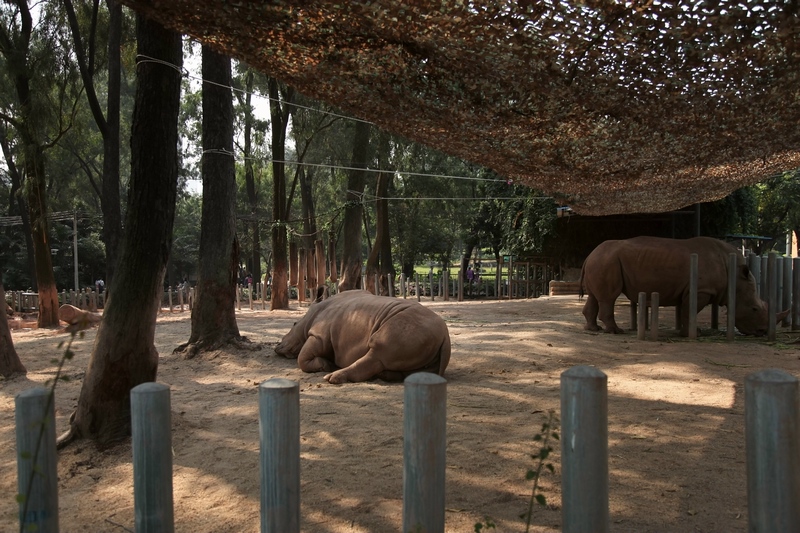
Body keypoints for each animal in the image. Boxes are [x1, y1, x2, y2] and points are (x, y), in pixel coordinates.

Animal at [274, 289, 451, 384]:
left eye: (294, 324)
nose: (277, 347)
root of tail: (445, 336)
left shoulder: (319, 335)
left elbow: (302, 358)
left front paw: (324, 365)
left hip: (407, 328)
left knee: (377, 353)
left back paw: (331, 377)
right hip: (424, 335)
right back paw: (383, 376)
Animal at [580, 236, 789, 336]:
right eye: (754, 309)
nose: (762, 332)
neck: (736, 278)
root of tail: (589, 255)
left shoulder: (688, 289)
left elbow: (684, 310)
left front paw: (685, 332)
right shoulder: (701, 290)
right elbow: (690, 311)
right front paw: (694, 334)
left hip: (602, 261)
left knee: (594, 297)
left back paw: (593, 329)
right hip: (606, 261)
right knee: (608, 298)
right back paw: (615, 331)